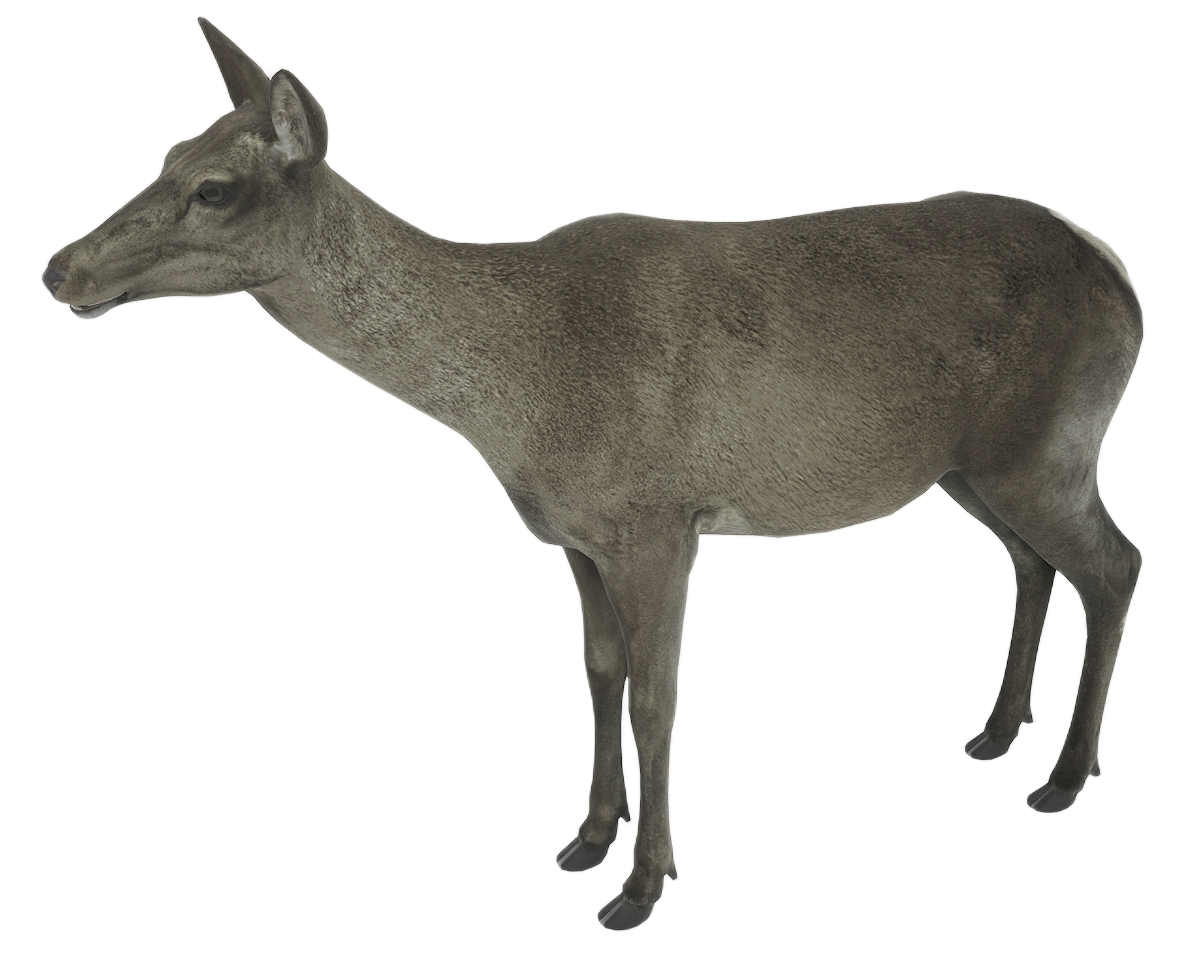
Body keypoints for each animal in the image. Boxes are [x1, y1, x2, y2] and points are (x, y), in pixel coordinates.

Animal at [41, 15, 1144, 933]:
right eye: (166, 153)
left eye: (214, 188)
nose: (61, 269)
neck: (518, 397)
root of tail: (1123, 279)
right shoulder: (574, 533)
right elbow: (598, 672)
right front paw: (584, 840)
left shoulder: (662, 519)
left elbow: (659, 697)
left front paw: (644, 885)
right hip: (974, 465)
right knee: (1033, 562)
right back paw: (996, 734)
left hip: (1050, 441)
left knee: (1114, 562)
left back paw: (1063, 775)